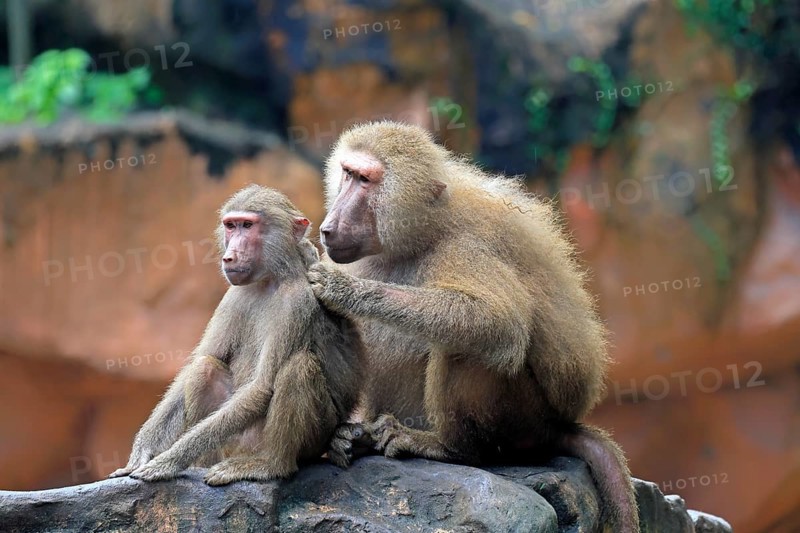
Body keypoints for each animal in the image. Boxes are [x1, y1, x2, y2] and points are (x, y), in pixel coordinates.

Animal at [108, 184, 364, 485]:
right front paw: (142, 451)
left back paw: (270, 465)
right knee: (205, 368)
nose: (229, 257)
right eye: (231, 226)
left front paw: (167, 461)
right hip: (230, 444)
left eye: (248, 226)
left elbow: (262, 386)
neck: (270, 280)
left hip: (306, 440)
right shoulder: (232, 296)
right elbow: (200, 363)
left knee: (298, 367)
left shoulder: (297, 302)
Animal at [307, 121, 640, 532]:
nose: (329, 227)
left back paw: (450, 448)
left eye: (365, 181)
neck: (423, 228)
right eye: (348, 174)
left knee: (470, 346)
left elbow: (498, 320)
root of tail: (560, 426)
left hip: (526, 419)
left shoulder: (466, 245)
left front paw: (345, 290)